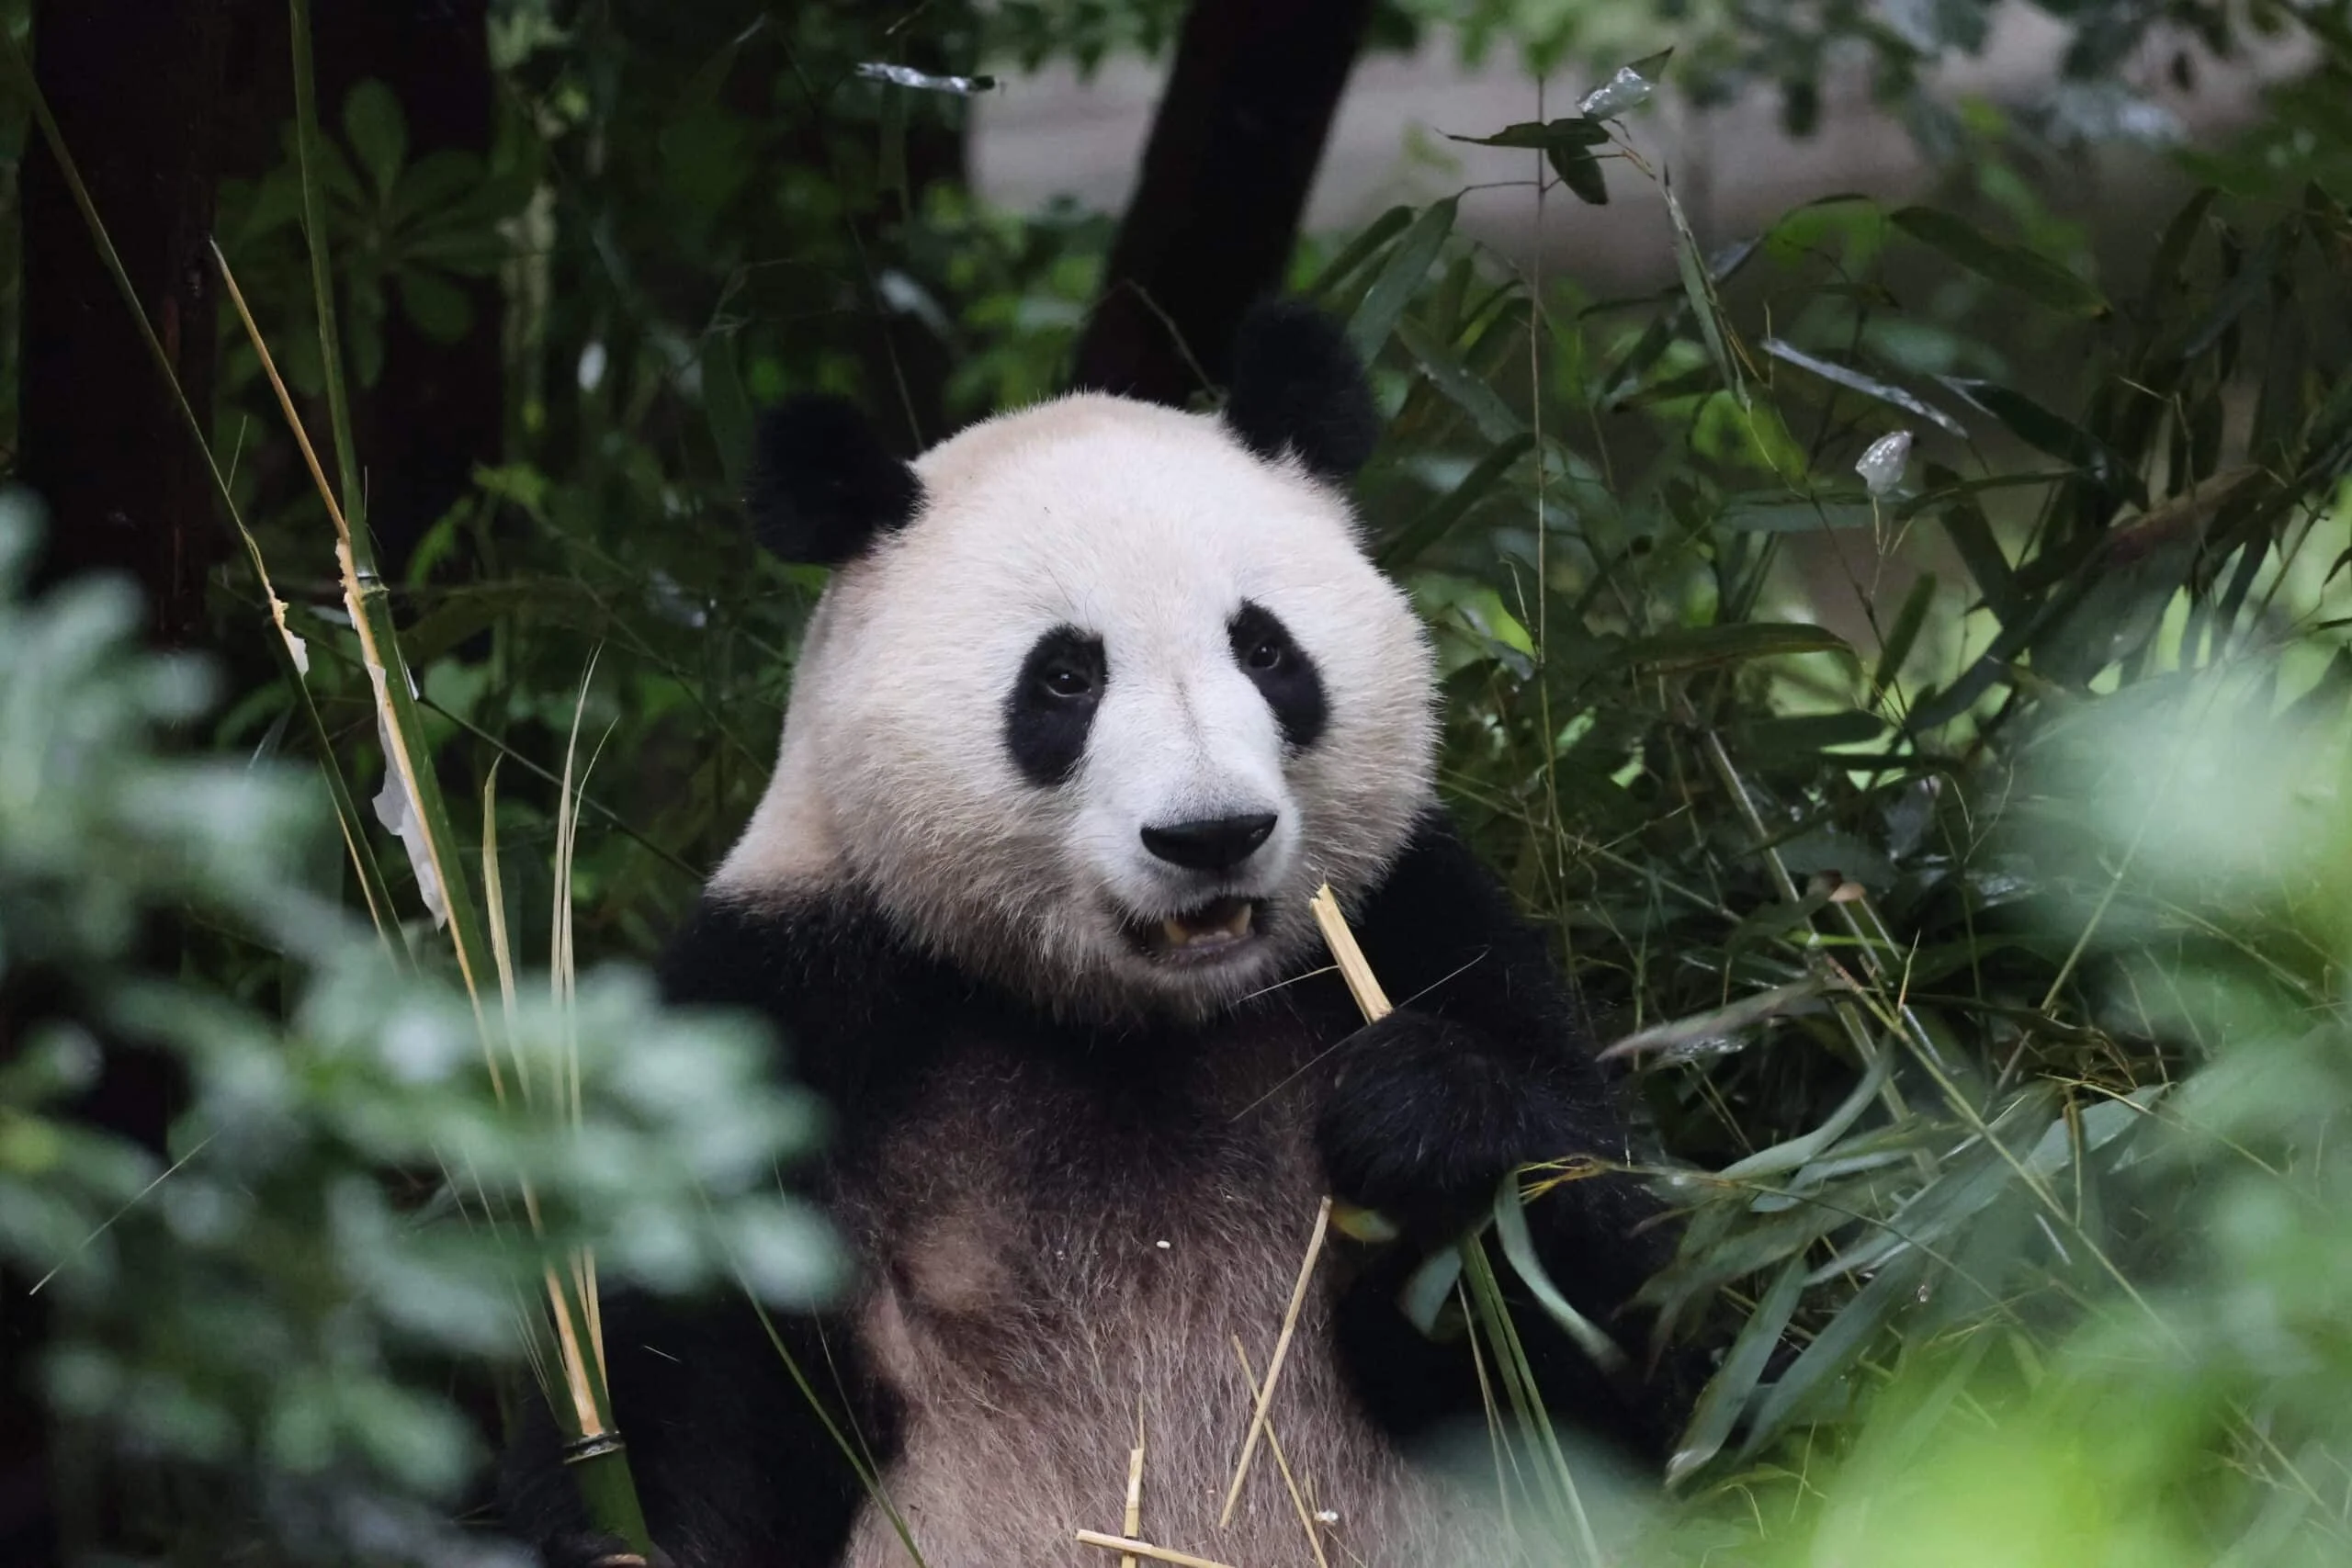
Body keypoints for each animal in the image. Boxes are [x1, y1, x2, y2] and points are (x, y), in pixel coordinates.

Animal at [503, 302, 1701, 1568]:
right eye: (1065, 678)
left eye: (1265, 651)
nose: (1211, 834)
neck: (1135, 1017)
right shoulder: (782, 1005)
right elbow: (676, 1367)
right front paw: (621, 1527)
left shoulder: (1422, 920)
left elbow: (1623, 1338)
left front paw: (1420, 1120)